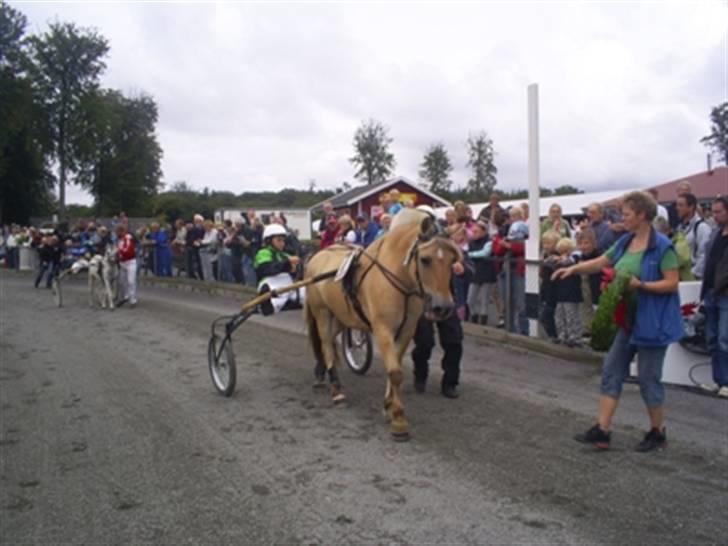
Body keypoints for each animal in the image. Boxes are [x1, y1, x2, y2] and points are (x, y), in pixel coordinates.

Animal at [304, 208, 464, 438]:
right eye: (425, 259)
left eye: (452, 260)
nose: (442, 307)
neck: (397, 277)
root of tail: (317, 256)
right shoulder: (382, 329)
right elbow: (395, 372)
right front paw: (398, 417)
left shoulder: (405, 330)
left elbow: (395, 366)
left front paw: (388, 405)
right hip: (322, 313)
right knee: (326, 345)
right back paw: (336, 390)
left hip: (341, 316)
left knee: (330, 345)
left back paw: (321, 373)